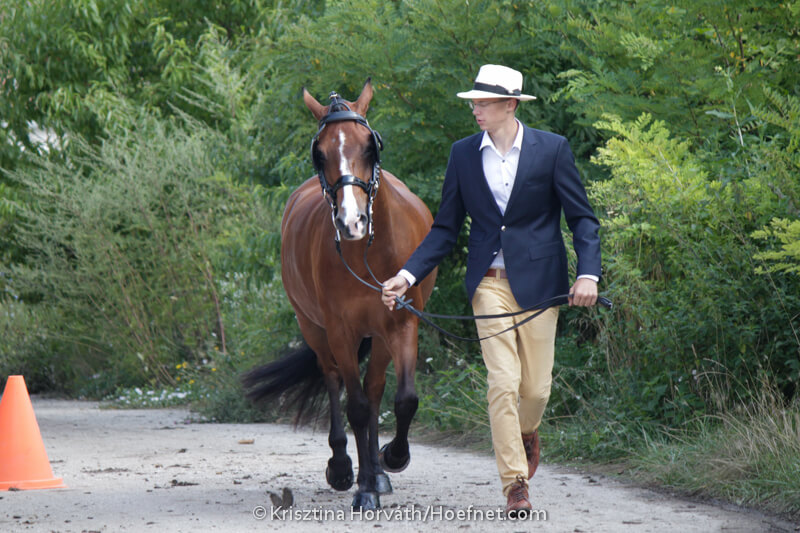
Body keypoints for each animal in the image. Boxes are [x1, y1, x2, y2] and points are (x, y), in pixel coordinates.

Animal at [243, 79, 436, 510]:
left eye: (369, 145)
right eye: (320, 153)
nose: (352, 222)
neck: (368, 253)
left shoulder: (402, 323)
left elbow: (403, 399)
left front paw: (391, 458)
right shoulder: (340, 332)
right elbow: (357, 407)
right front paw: (361, 486)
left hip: (379, 335)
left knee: (376, 387)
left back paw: (378, 472)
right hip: (314, 329)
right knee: (333, 380)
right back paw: (345, 467)